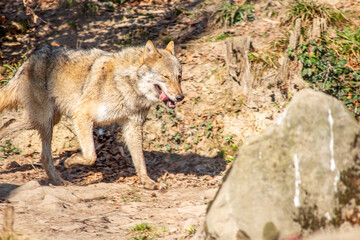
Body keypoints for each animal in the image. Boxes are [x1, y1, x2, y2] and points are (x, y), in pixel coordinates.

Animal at [0, 39, 184, 189]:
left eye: (179, 77)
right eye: (165, 76)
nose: (180, 97)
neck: (127, 85)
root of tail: (29, 59)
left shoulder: (133, 126)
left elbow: (140, 161)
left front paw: (147, 182)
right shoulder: (82, 115)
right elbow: (91, 156)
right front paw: (71, 161)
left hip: (46, 121)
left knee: (11, 126)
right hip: (46, 121)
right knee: (44, 155)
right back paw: (60, 180)